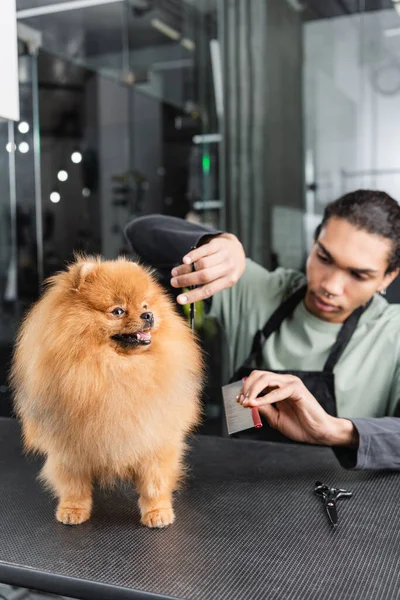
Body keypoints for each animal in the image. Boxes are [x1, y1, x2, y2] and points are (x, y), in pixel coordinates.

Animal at [10, 255, 203, 528]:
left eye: (145, 304)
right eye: (118, 310)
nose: (149, 314)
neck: (115, 370)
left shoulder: (155, 437)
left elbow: (154, 482)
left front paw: (158, 512)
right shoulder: (68, 447)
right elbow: (73, 484)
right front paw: (73, 509)